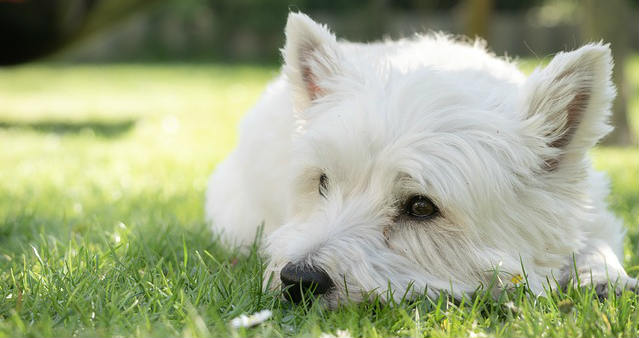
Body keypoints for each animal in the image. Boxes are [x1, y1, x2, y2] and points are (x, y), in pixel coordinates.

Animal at [208, 12, 636, 306]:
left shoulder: (594, 214)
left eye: (420, 207)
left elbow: (596, 243)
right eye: (323, 182)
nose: (298, 279)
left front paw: (604, 277)